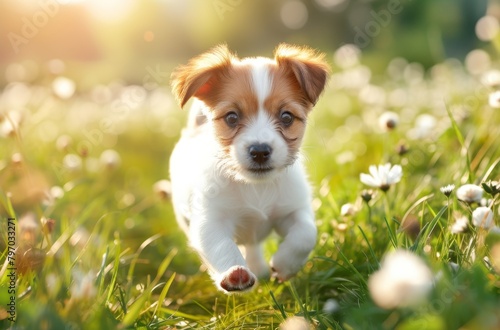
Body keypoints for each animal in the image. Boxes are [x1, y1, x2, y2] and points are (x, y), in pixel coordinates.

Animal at [170, 43, 330, 294]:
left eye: (286, 117)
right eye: (231, 117)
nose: (260, 151)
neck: (256, 187)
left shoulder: (293, 210)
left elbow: (306, 234)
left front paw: (284, 264)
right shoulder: (210, 221)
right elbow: (222, 246)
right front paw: (235, 273)